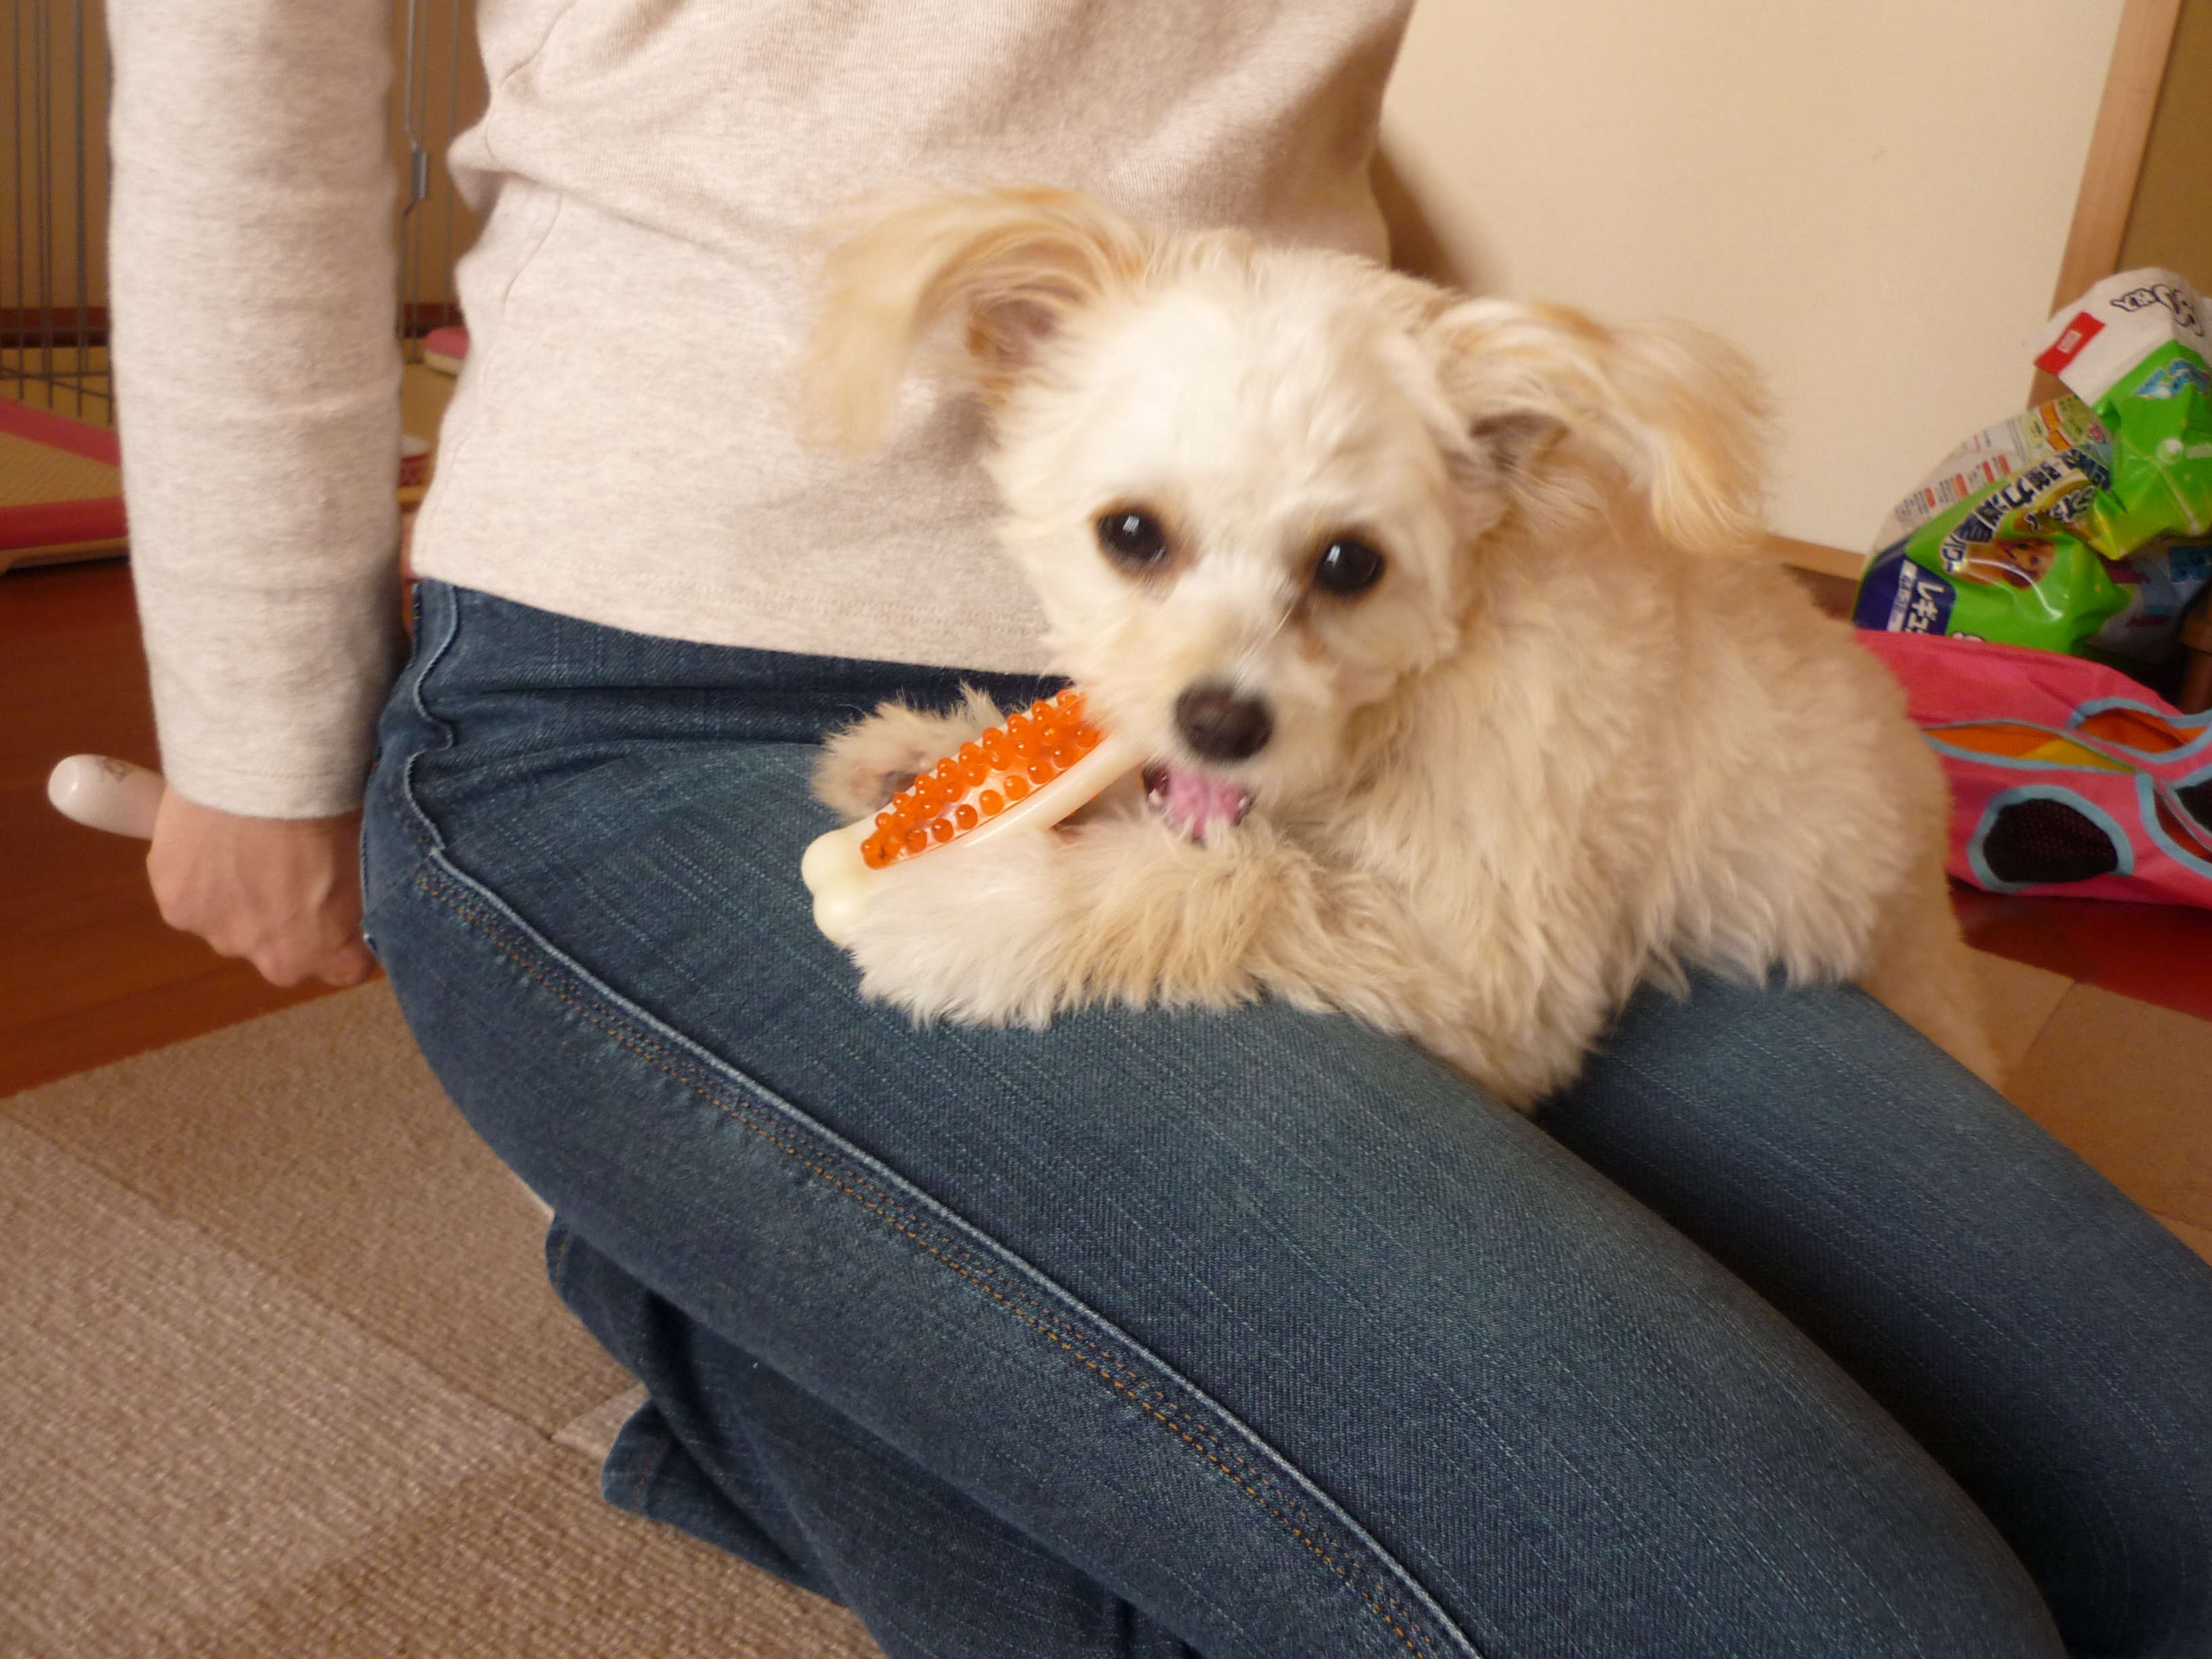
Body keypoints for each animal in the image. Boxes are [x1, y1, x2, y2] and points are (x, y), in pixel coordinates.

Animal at [800, 188, 2008, 1110]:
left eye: (1350, 564)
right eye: (1131, 534)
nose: (1222, 724)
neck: (1420, 687)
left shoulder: (1503, 979)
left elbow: (1243, 888)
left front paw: (985, 909)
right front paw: (926, 765)